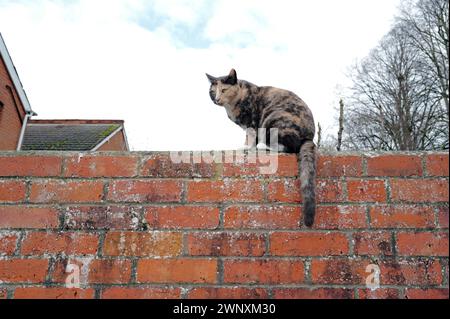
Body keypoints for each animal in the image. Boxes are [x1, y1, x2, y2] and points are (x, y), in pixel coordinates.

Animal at [207, 69, 316, 228]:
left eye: (224, 90)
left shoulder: (252, 122)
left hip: (273, 118)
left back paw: (264, 147)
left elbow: (250, 136)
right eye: (212, 91)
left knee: (289, 146)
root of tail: (309, 137)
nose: (216, 99)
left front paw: (247, 147)